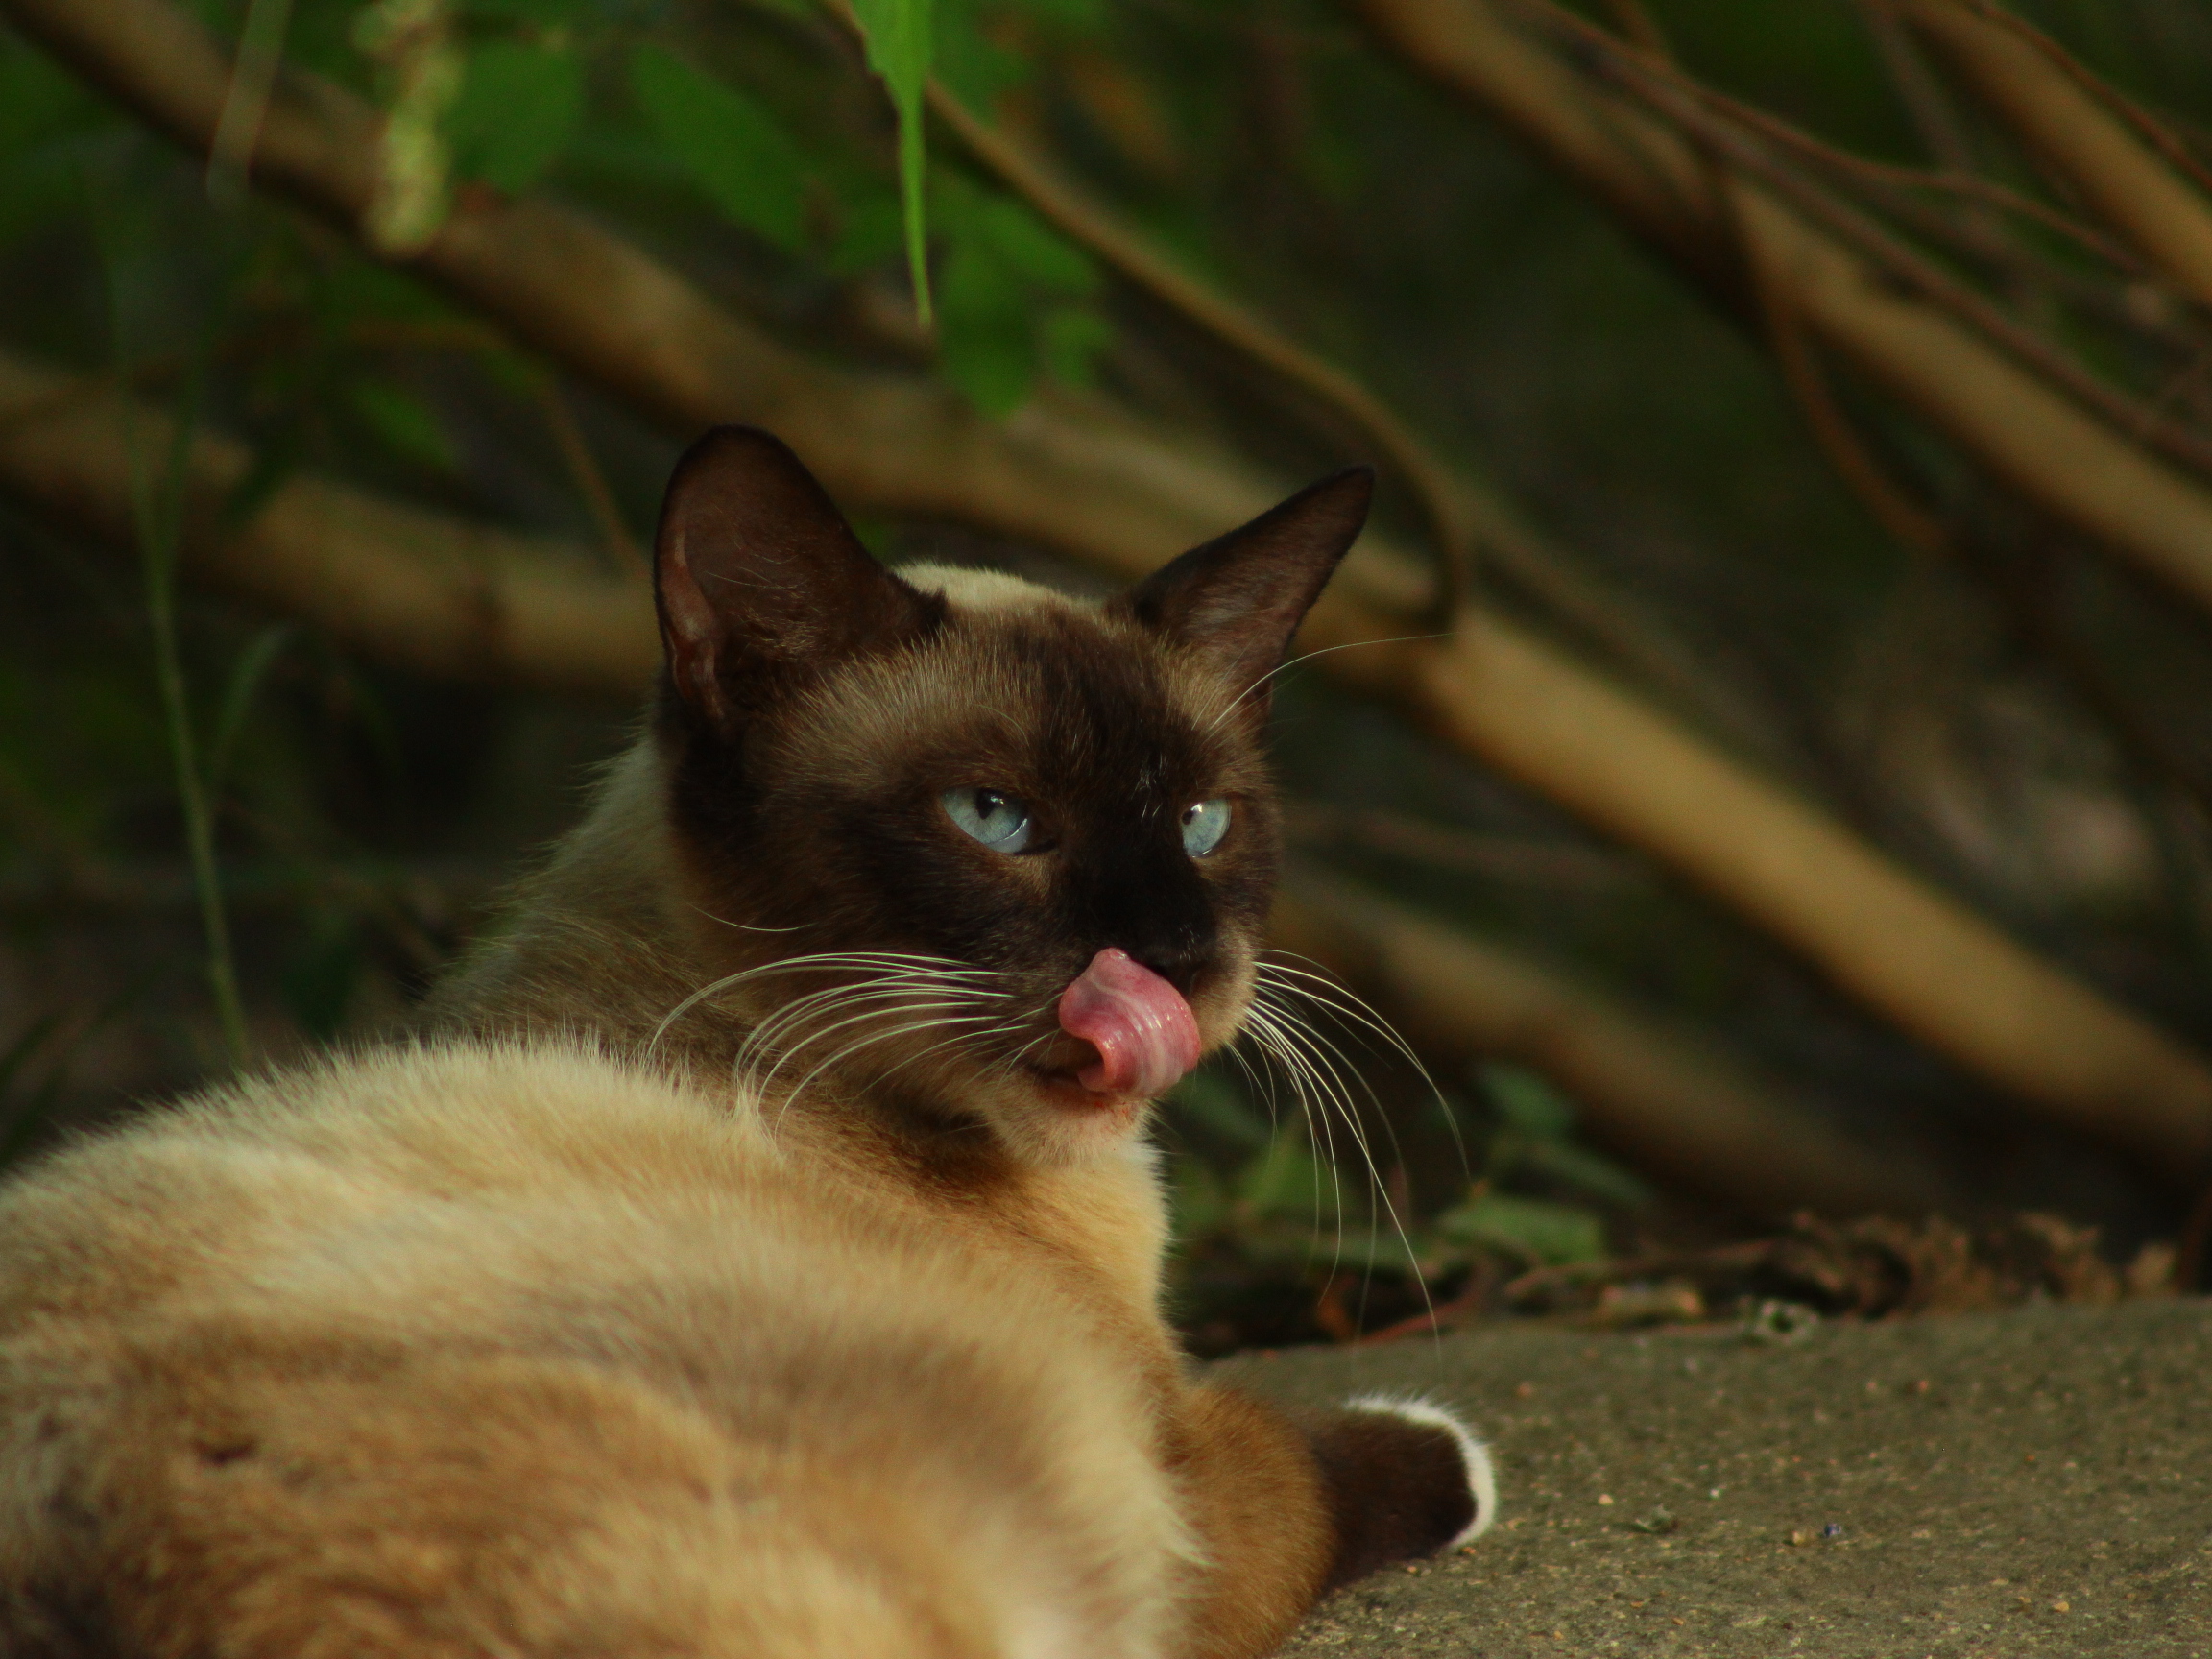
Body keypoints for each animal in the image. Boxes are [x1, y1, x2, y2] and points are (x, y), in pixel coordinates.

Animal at [0, 431, 1495, 1659]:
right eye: (996, 819)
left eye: (1201, 824)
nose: (1179, 958)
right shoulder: (1174, 1496)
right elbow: (1325, 1466)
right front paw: (1458, 1450)